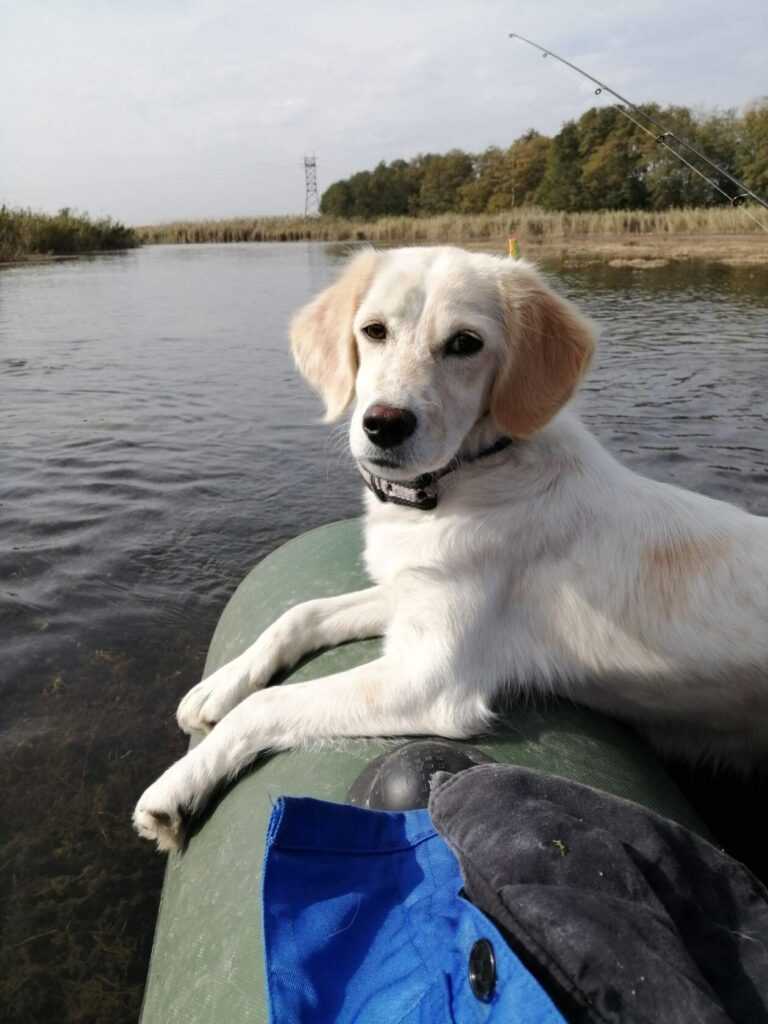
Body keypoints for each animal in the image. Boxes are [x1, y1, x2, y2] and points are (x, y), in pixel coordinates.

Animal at [134, 243, 768, 851]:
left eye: (466, 343)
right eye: (373, 331)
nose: (384, 424)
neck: (462, 483)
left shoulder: (431, 676)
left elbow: (269, 705)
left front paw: (178, 786)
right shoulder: (407, 593)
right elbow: (300, 613)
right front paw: (219, 685)